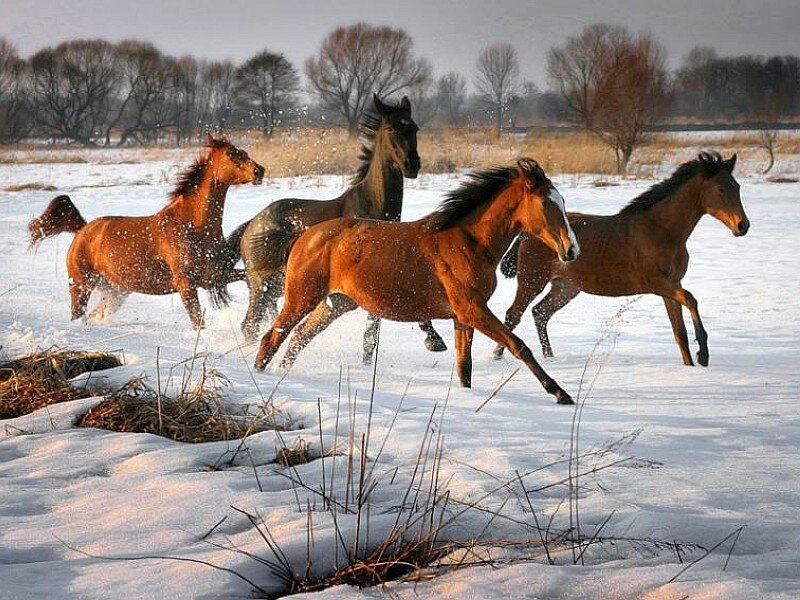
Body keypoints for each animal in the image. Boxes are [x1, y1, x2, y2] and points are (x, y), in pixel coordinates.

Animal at [28, 135, 265, 329]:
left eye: (243, 151)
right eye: (231, 154)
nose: (259, 171)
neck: (193, 227)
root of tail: (82, 230)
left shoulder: (213, 275)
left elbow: (246, 277)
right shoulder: (186, 284)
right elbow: (198, 322)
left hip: (116, 291)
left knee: (97, 314)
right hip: (80, 286)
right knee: (78, 314)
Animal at [226, 93, 447, 362]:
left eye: (414, 127)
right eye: (391, 128)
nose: (411, 165)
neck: (371, 207)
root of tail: (252, 223)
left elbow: (371, 335)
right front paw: (434, 340)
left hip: (278, 286)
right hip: (260, 285)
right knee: (250, 324)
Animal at [253, 159, 581, 405]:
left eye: (563, 201)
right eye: (546, 203)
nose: (571, 250)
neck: (470, 241)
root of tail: (304, 236)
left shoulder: (462, 316)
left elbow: (465, 367)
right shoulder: (473, 309)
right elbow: (518, 345)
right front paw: (560, 393)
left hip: (337, 303)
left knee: (298, 337)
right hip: (303, 297)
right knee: (273, 336)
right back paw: (260, 376)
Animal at [494, 152, 748, 367]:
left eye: (736, 186)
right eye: (720, 189)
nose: (742, 226)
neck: (662, 231)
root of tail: (527, 233)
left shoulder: (672, 285)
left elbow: (679, 332)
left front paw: (690, 366)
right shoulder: (656, 283)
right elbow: (691, 299)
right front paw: (703, 354)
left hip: (566, 287)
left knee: (540, 313)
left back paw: (549, 357)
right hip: (532, 281)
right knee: (514, 314)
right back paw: (498, 356)